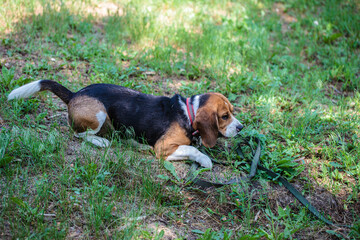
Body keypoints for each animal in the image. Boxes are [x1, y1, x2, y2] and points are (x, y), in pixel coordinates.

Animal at [8, 79, 243, 168]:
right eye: (224, 116)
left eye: (232, 112)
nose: (240, 128)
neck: (189, 112)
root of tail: (75, 94)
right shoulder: (163, 148)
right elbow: (193, 150)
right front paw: (206, 160)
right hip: (98, 113)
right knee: (78, 134)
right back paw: (101, 142)